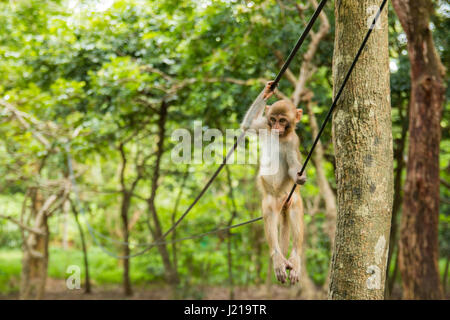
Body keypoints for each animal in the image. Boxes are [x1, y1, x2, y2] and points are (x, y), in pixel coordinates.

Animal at [241, 81, 308, 284]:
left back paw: (294, 258)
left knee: (295, 207)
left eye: (283, 121)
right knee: (270, 212)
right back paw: (278, 257)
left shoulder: (293, 142)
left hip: (289, 196)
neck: (281, 137)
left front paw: (299, 176)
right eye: (274, 119)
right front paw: (267, 91)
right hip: (272, 198)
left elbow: (293, 167)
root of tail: (281, 202)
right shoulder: (264, 125)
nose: (277, 127)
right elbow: (247, 125)